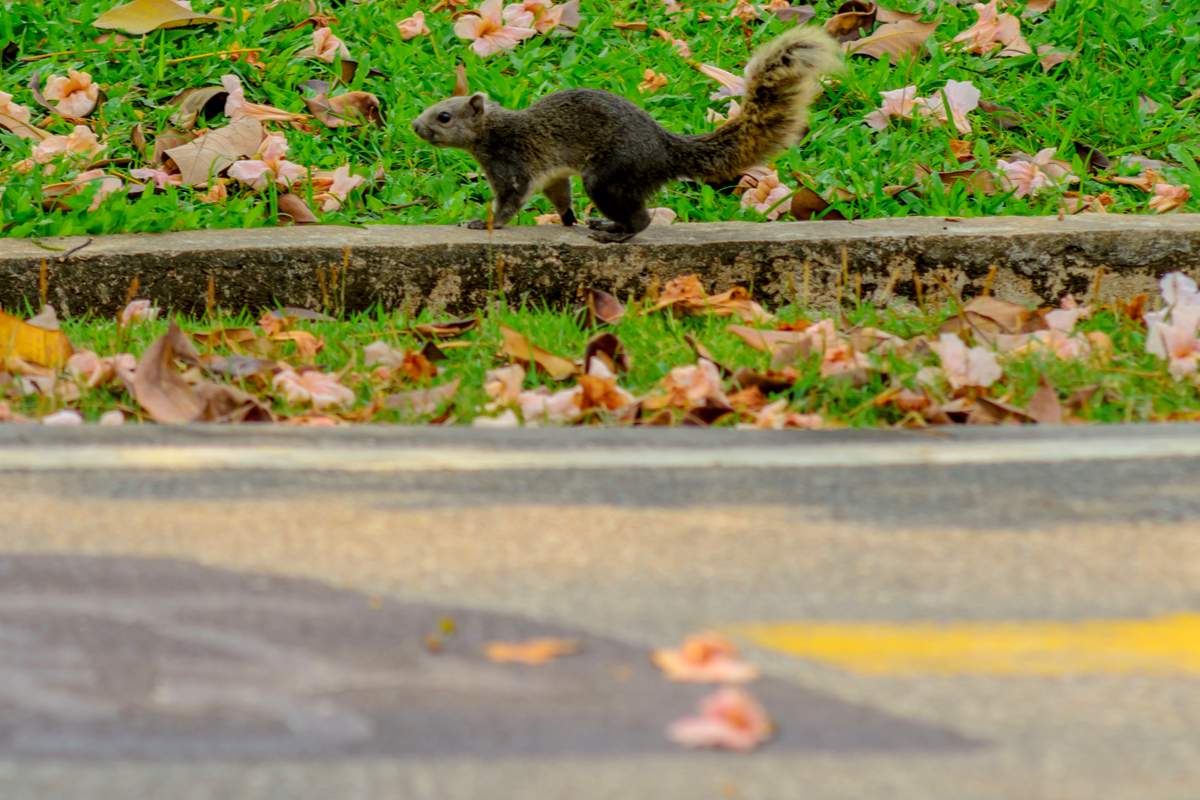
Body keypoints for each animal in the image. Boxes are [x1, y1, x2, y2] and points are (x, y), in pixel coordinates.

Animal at [417, 26, 840, 242]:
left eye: (443, 116)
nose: (415, 126)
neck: (493, 129)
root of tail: (665, 148)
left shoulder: (511, 164)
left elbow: (509, 201)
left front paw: (482, 223)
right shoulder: (553, 173)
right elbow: (559, 195)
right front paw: (567, 220)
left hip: (610, 177)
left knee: (641, 219)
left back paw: (615, 233)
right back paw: (604, 225)